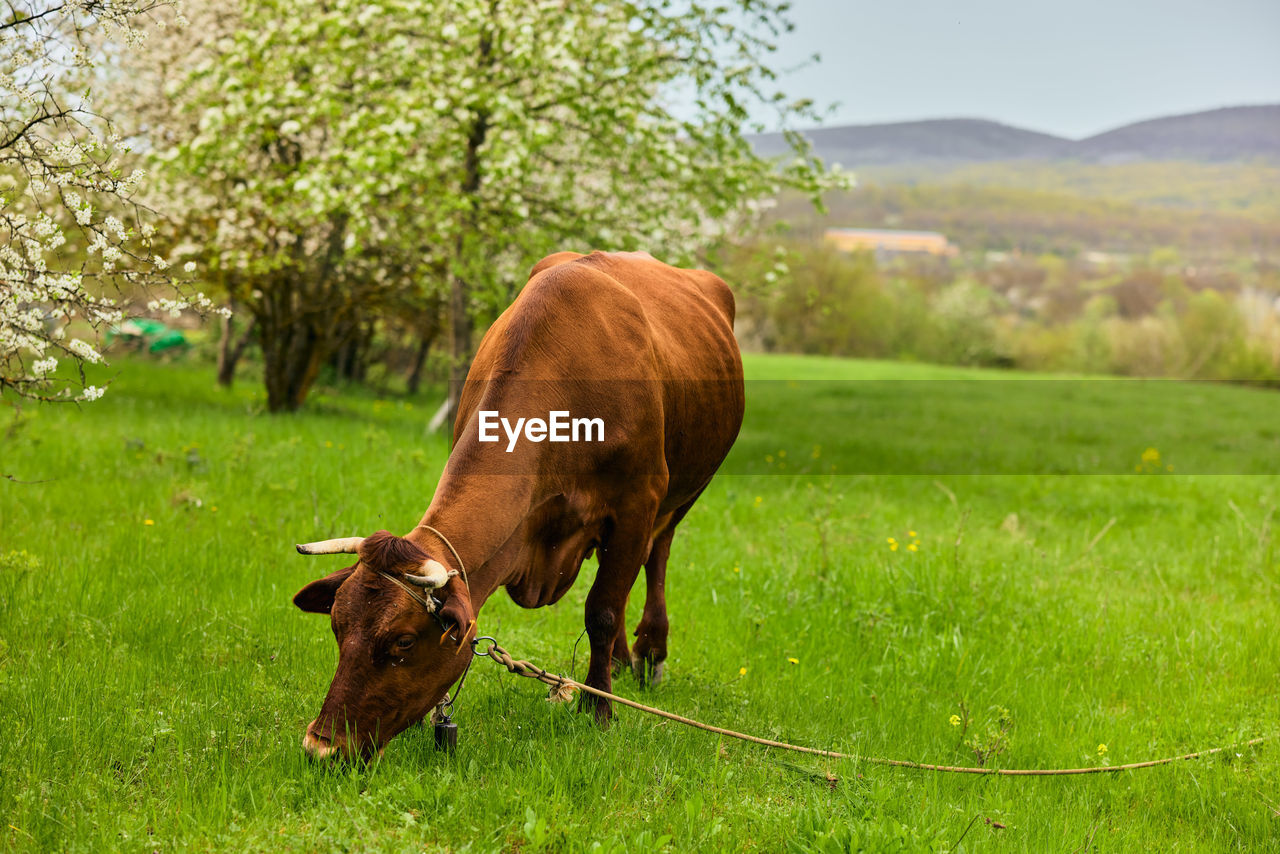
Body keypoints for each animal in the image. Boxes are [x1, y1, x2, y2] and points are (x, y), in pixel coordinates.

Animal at [293, 252, 742, 763]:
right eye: (337, 627)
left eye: (403, 640)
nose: (321, 746)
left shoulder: (637, 504)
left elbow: (603, 611)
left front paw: (598, 711)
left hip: (683, 494)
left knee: (656, 558)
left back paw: (648, 653)